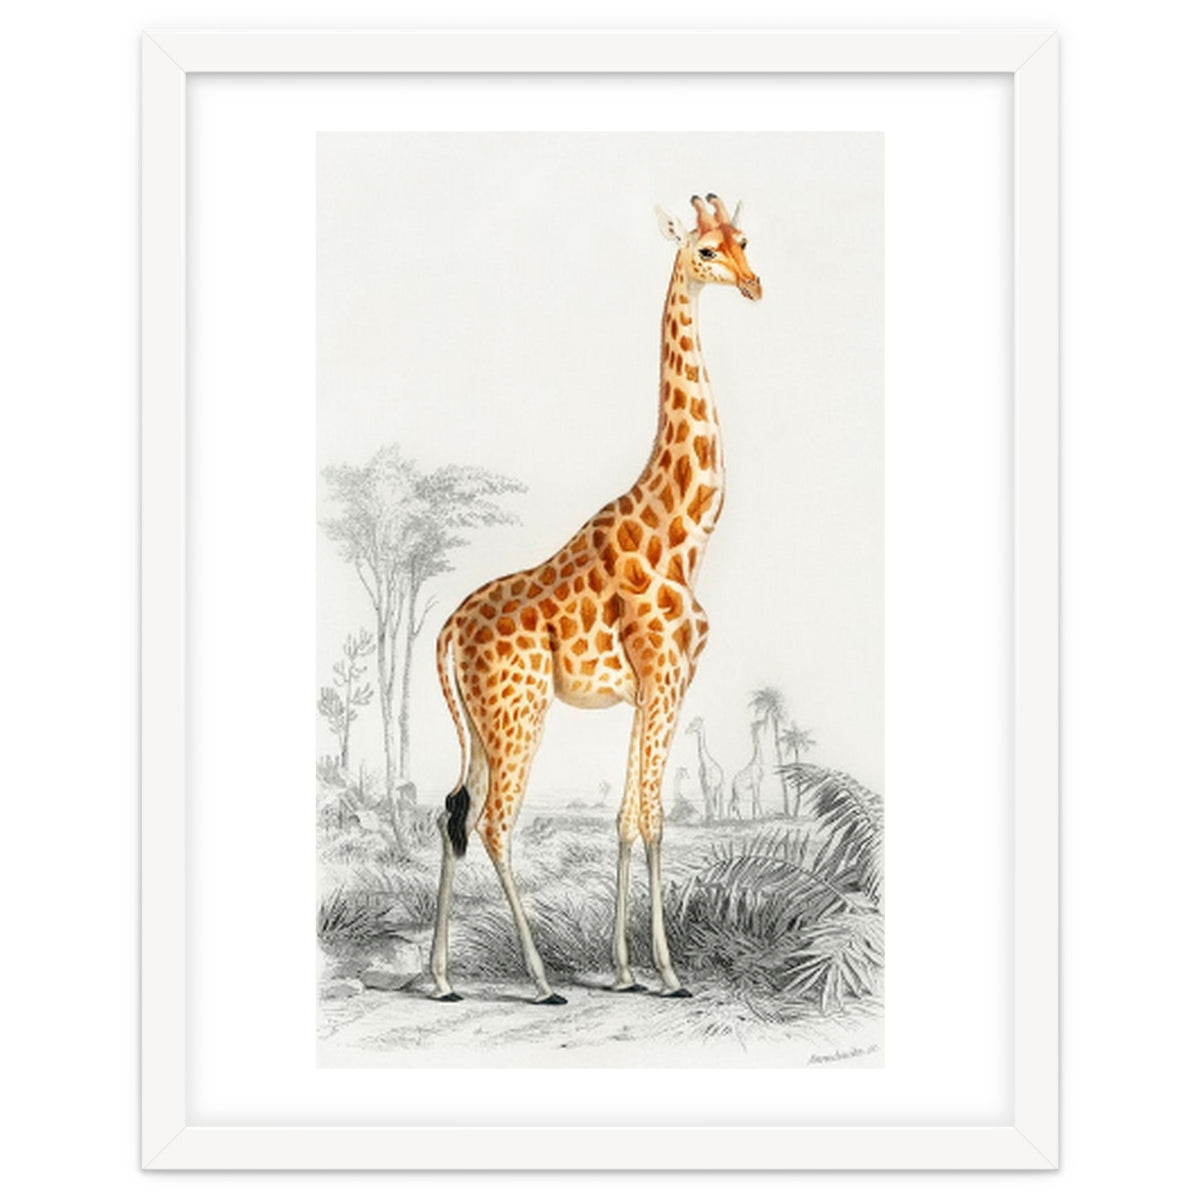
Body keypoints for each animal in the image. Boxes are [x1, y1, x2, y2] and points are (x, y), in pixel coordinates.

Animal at [430, 193, 761, 1003]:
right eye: (705, 251)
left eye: (744, 240)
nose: (753, 285)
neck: (685, 533)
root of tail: (447, 629)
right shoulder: (665, 679)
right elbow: (654, 818)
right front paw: (667, 973)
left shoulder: (654, 689)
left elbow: (628, 816)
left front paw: (626, 970)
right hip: (518, 713)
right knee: (493, 823)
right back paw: (543, 980)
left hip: (482, 723)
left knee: (452, 811)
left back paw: (441, 979)